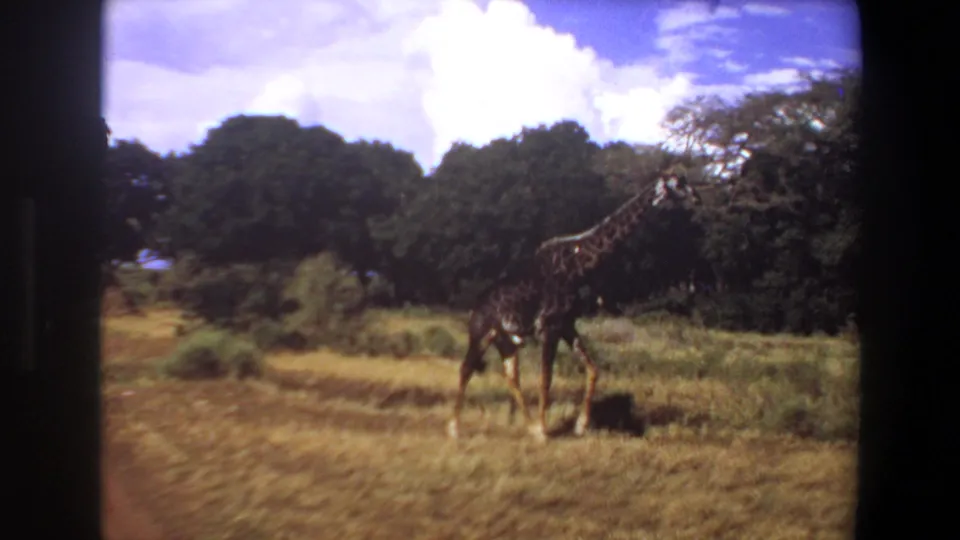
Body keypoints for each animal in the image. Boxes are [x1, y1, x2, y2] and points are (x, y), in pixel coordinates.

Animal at [448, 171, 703, 442]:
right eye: (678, 184)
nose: (697, 197)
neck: (579, 264)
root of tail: (475, 307)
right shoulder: (549, 326)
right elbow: (545, 378)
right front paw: (545, 432)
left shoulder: (567, 324)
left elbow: (593, 369)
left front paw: (579, 425)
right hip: (482, 333)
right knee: (466, 368)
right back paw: (455, 428)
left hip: (506, 340)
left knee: (511, 377)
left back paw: (528, 425)